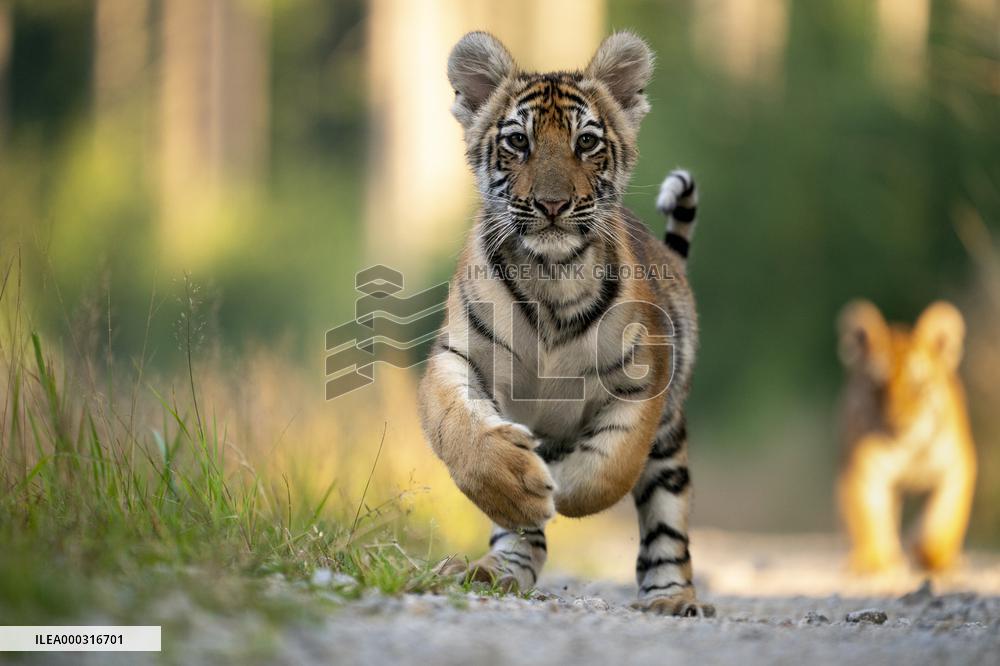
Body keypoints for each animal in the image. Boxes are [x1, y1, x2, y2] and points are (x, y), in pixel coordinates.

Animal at [417, 31, 713, 617]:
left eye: (587, 143)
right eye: (517, 142)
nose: (552, 205)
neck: (551, 276)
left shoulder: (644, 377)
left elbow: (612, 464)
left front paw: (564, 487)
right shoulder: (457, 356)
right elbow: (461, 431)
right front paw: (522, 484)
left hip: (670, 441)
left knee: (667, 522)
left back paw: (671, 597)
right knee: (518, 536)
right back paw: (494, 570)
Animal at [837, 300, 977, 573]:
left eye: (917, 386)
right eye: (877, 386)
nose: (898, 425)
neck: (909, 449)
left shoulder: (956, 469)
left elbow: (943, 523)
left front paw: (933, 556)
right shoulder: (863, 470)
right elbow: (867, 517)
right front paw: (872, 559)